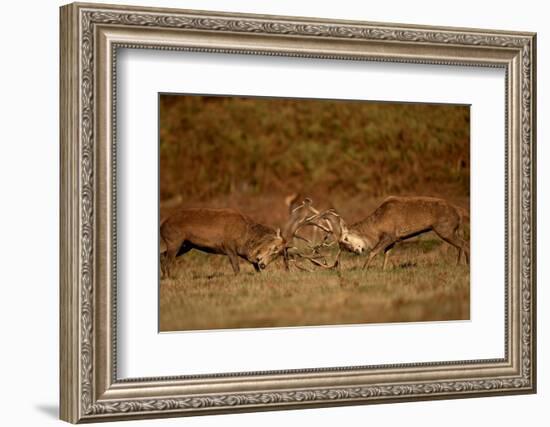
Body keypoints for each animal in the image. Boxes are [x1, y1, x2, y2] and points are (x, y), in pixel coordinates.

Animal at [312, 197, 472, 270]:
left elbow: (374, 251)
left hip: (444, 228)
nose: (357, 251)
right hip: (451, 230)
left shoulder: (390, 235)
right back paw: (459, 265)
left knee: (464, 244)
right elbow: (387, 253)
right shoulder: (394, 239)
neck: (376, 226)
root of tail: (459, 212)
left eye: (345, 239)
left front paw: (364, 269)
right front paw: (383, 269)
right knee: (461, 245)